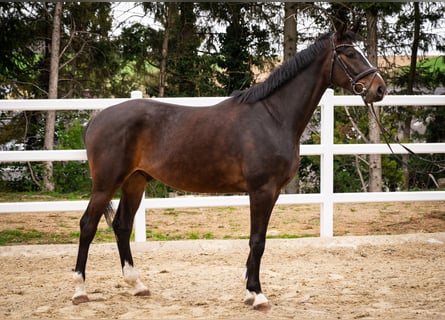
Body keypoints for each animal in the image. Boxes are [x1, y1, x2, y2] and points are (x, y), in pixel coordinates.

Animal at [73, 27, 386, 310]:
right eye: (350, 54)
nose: (380, 88)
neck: (273, 116)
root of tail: (96, 119)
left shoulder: (273, 192)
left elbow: (257, 241)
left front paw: (249, 291)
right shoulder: (261, 190)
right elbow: (257, 241)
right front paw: (258, 295)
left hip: (135, 182)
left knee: (122, 226)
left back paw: (137, 285)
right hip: (106, 184)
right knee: (88, 225)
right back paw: (80, 291)